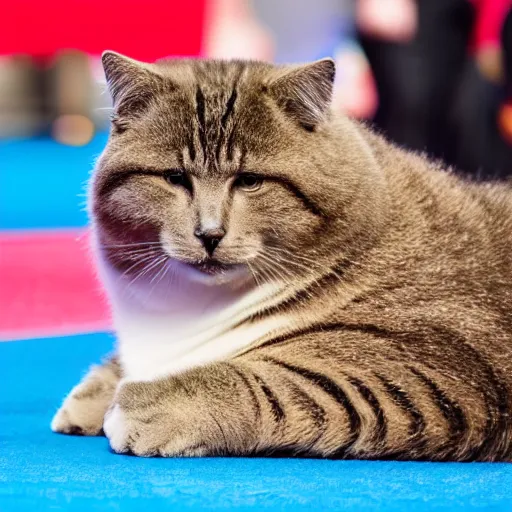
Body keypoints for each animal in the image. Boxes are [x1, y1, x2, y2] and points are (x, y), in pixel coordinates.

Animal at [51, 51, 512, 460]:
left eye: (250, 181)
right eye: (175, 178)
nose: (209, 233)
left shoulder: (432, 370)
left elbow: (278, 383)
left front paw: (148, 405)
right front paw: (93, 394)